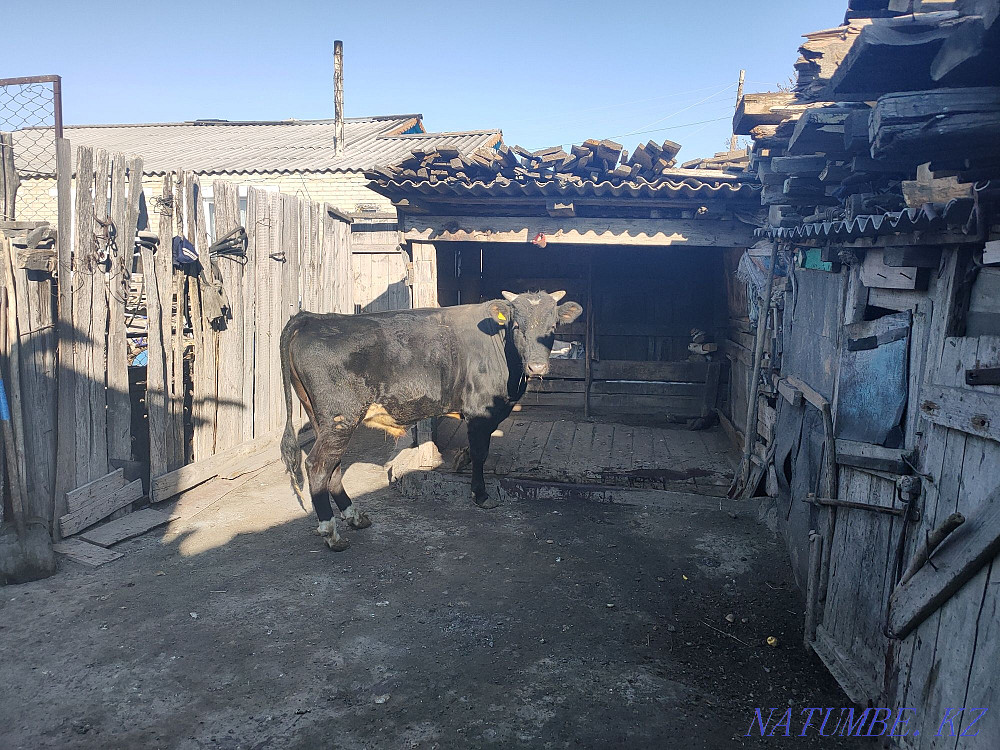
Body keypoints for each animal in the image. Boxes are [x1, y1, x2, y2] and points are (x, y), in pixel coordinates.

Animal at [279, 290, 584, 550]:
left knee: (333, 467)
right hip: (340, 418)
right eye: (517, 326)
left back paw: (355, 516)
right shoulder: (480, 411)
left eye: (553, 327)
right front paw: (481, 495)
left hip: (325, 420)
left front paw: (462, 460)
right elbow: (481, 452)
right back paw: (332, 533)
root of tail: (310, 318)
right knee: (318, 466)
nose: (537, 366)